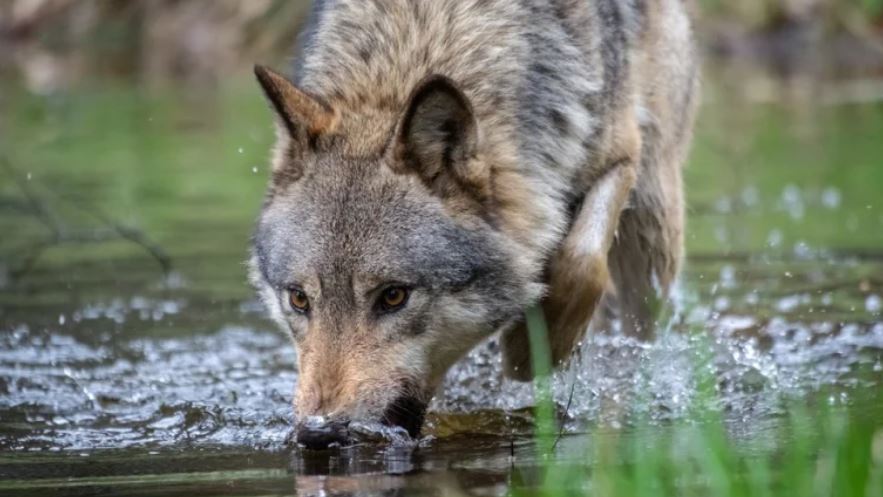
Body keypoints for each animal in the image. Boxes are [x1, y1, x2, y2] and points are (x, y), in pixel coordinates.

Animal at [249, 0, 699, 449]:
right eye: (299, 300)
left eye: (393, 296)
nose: (318, 434)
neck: (420, 37)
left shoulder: (620, 155)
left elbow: (581, 260)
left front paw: (530, 350)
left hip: (652, 221)